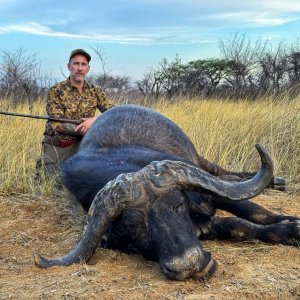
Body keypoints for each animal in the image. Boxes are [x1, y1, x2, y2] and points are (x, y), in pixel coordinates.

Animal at [35, 104, 300, 280]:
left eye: (177, 205)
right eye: (134, 226)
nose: (188, 266)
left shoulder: (211, 192)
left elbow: (254, 212)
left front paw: (292, 226)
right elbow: (237, 226)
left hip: (205, 163)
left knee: (230, 176)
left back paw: (277, 181)